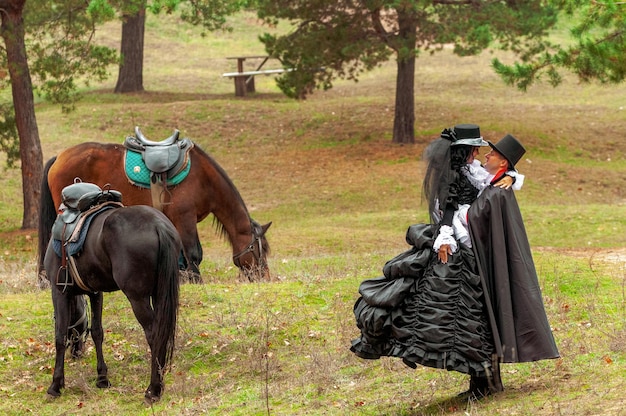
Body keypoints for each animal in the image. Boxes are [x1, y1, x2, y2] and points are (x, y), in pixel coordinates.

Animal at [39, 138, 268, 282]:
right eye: (261, 250)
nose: (264, 276)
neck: (204, 178)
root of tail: (59, 156)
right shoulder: (185, 218)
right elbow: (194, 253)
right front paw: (197, 280)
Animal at [43, 205, 180, 404]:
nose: (76, 353)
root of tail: (158, 224)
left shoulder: (59, 291)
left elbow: (60, 337)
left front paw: (56, 384)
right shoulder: (95, 293)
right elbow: (97, 332)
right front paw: (102, 378)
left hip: (138, 299)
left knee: (154, 335)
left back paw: (153, 389)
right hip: (160, 294)